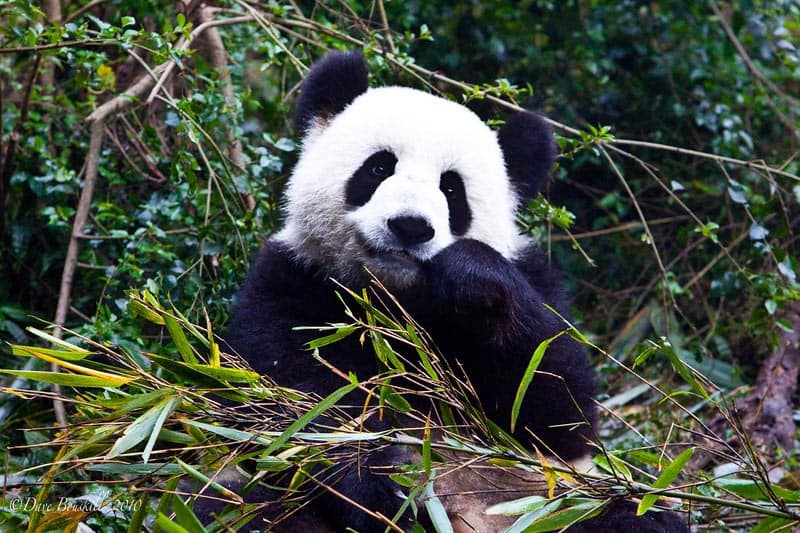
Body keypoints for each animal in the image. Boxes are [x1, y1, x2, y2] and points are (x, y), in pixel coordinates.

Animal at [217, 51, 688, 532]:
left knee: (633, 516)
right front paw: (380, 488)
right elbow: (295, 398)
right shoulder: (295, 280)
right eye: (379, 168)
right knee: (247, 508)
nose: (410, 225)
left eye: (451, 188)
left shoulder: (535, 282)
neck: (397, 299)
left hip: (561, 504)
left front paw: (470, 275)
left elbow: (556, 411)